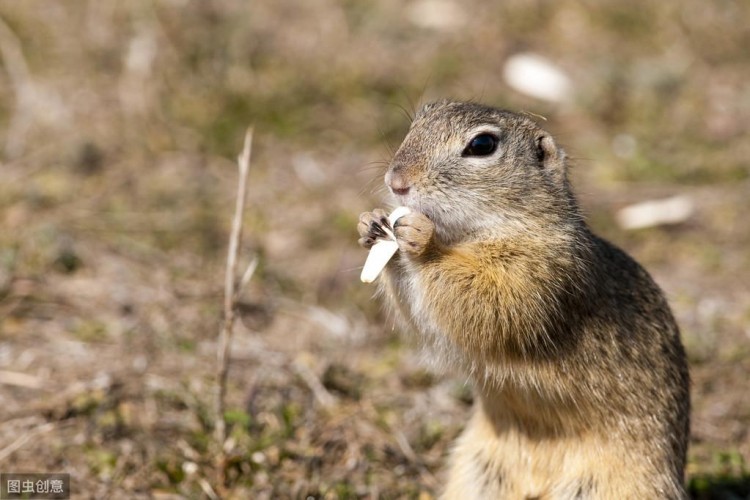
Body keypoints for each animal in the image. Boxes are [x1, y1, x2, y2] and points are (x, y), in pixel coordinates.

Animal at [358, 99, 692, 498]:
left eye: (482, 145)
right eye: (422, 116)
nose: (396, 182)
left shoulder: (540, 274)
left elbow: (489, 304)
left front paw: (422, 239)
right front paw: (371, 221)